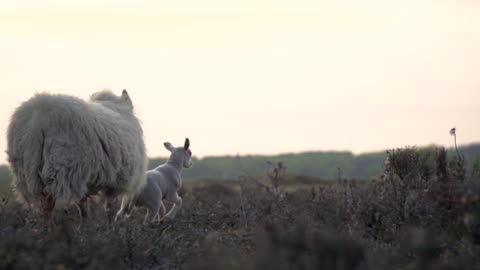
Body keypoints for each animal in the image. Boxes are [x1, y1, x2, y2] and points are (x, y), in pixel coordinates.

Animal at [6, 89, 148, 219]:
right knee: (53, 203)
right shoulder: (117, 181)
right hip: (64, 168)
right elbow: (109, 208)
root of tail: (40, 119)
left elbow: (83, 206)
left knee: (44, 206)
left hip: (28, 172)